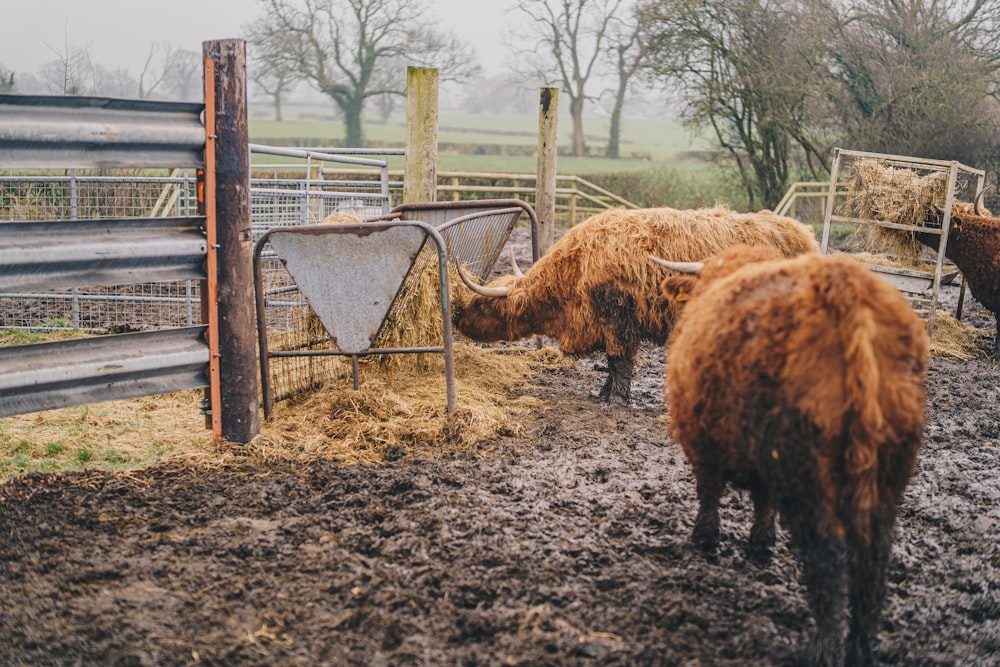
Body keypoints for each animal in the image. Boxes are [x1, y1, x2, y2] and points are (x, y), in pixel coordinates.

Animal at [454, 205, 820, 402]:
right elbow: (612, 363)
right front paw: (603, 393)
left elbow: (619, 362)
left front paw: (615, 399)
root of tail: (798, 231)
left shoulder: (618, 318)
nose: (457, 318)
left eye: (482, 305)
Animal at [656, 245, 928, 667]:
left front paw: (705, 539)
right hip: (889, 469)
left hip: (806, 470)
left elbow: (709, 492)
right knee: (874, 556)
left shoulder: (700, 437)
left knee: (827, 550)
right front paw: (761, 544)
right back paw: (860, 649)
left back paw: (822, 646)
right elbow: (762, 500)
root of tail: (846, 290)